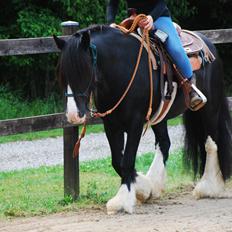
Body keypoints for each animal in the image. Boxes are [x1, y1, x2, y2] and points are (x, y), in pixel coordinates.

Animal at [53, 24, 232, 215]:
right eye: (62, 75)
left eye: (83, 71)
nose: (73, 115)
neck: (121, 69)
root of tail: (207, 44)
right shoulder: (112, 125)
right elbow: (117, 161)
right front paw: (144, 189)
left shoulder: (135, 123)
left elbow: (127, 161)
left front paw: (122, 200)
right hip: (160, 117)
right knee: (164, 143)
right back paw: (155, 183)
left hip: (210, 108)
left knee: (211, 143)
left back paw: (209, 187)